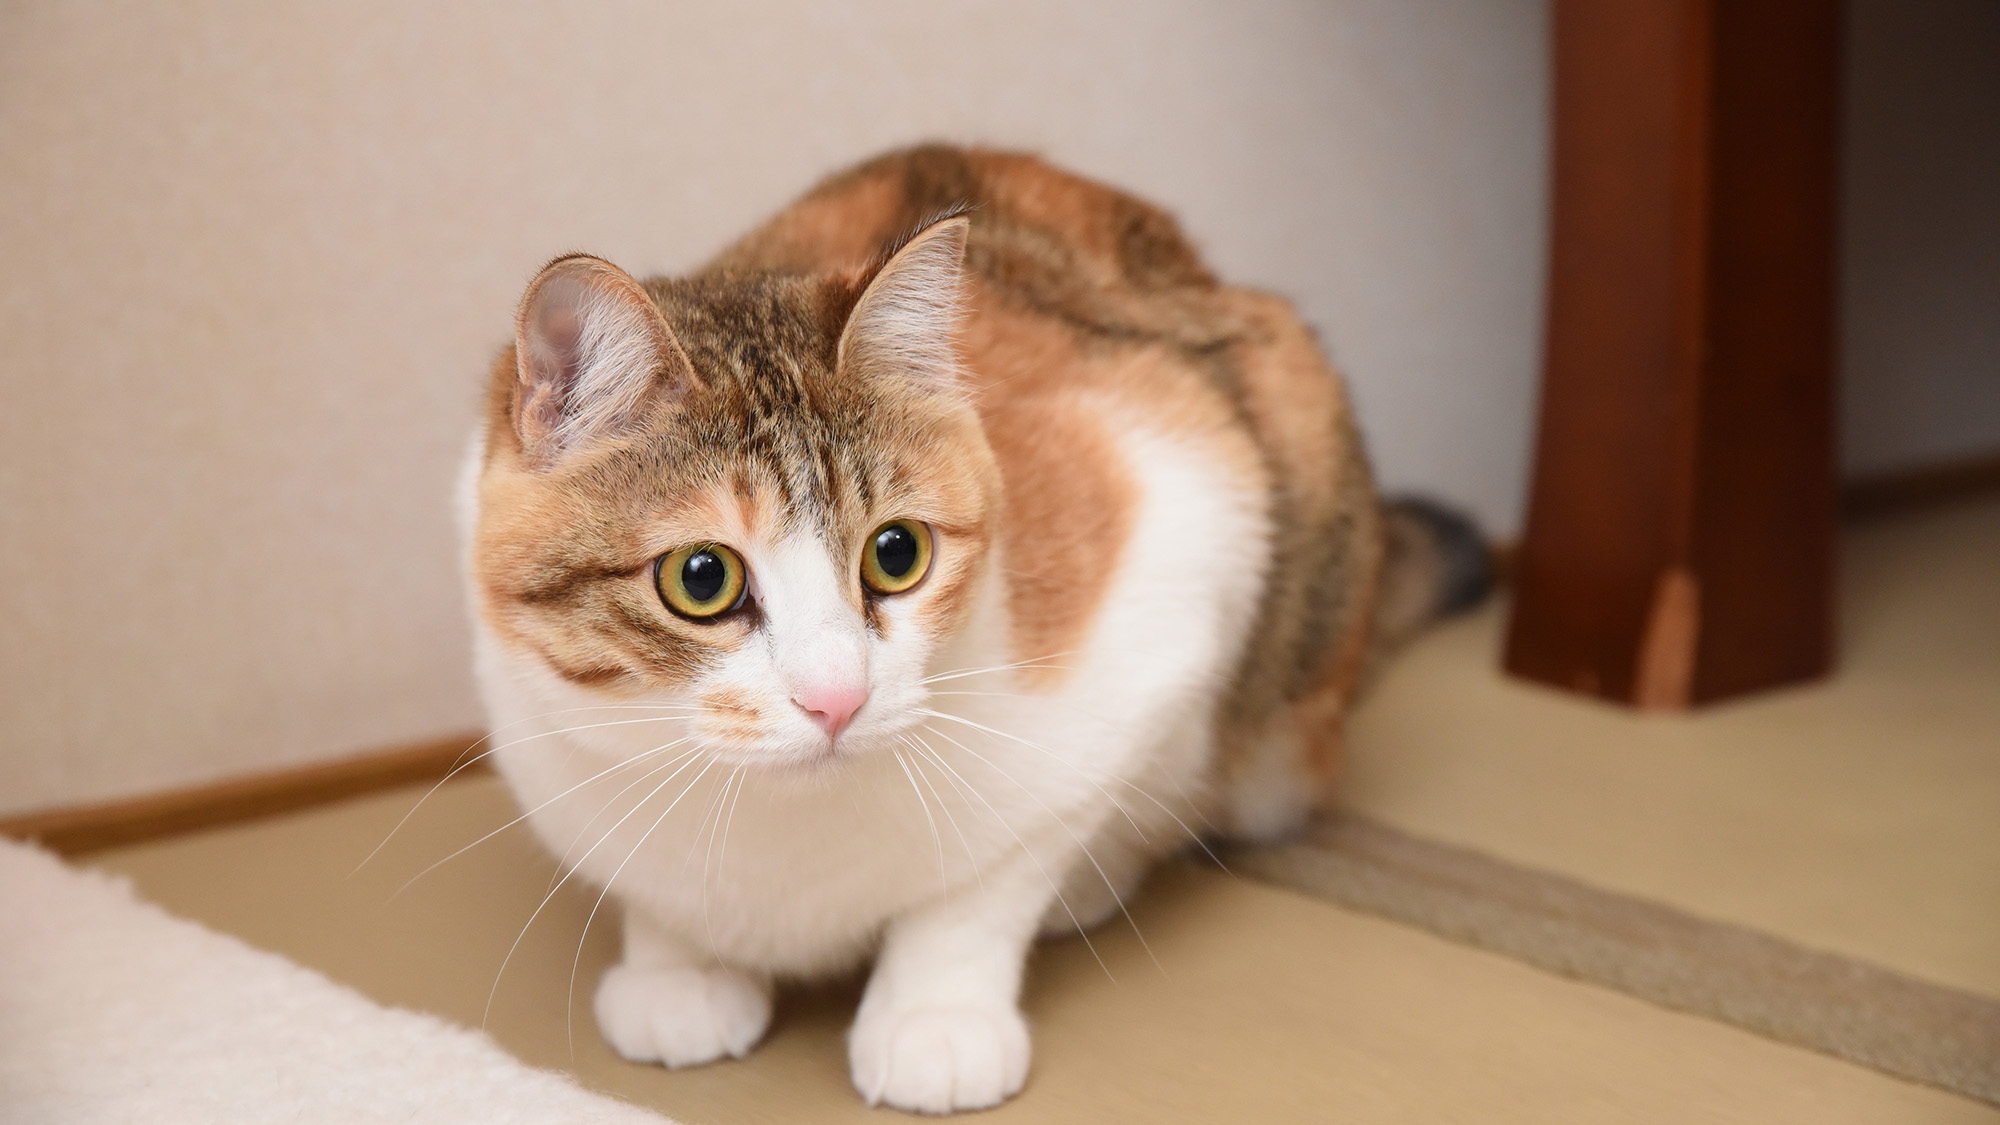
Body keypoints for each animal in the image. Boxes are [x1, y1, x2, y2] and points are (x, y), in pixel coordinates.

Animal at [458, 144, 1488, 1104]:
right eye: (701, 577)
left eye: (896, 553)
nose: (836, 698)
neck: (776, 829)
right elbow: (650, 887)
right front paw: (677, 966)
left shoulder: (1180, 522)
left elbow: (991, 878)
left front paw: (935, 1015)